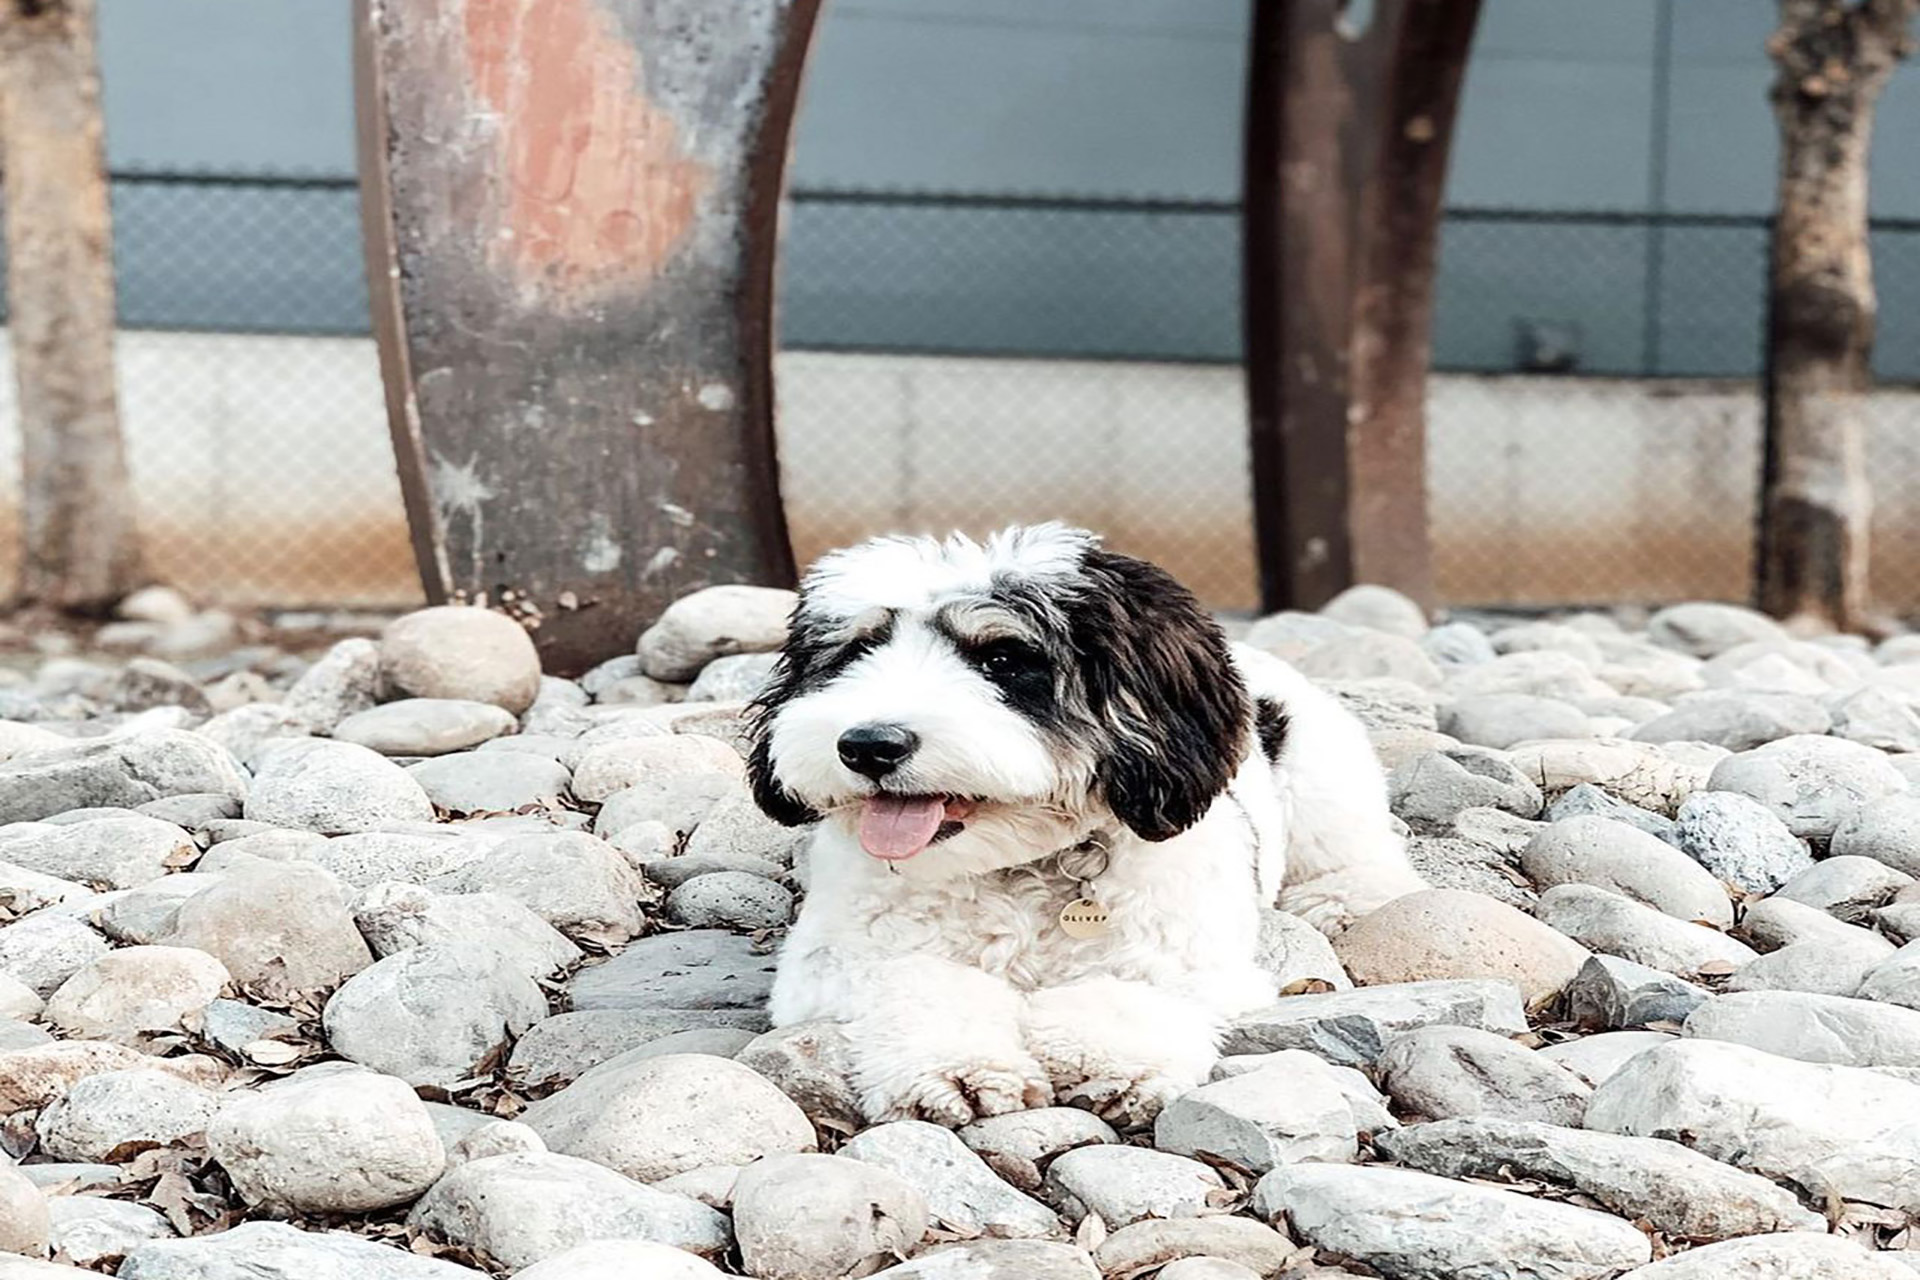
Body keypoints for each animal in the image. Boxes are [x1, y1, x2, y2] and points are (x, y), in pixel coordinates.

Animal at [748, 525, 1428, 1128]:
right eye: (856, 651)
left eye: (1002, 657)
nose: (868, 744)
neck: (1018, 869)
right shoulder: (833, 957)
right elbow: (917, 981)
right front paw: (956, 1067)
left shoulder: (1187, 954)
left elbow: (1130, 990)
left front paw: (1107, 1061)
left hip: (1325, 768)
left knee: (1349, 847)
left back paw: (1346, 896)